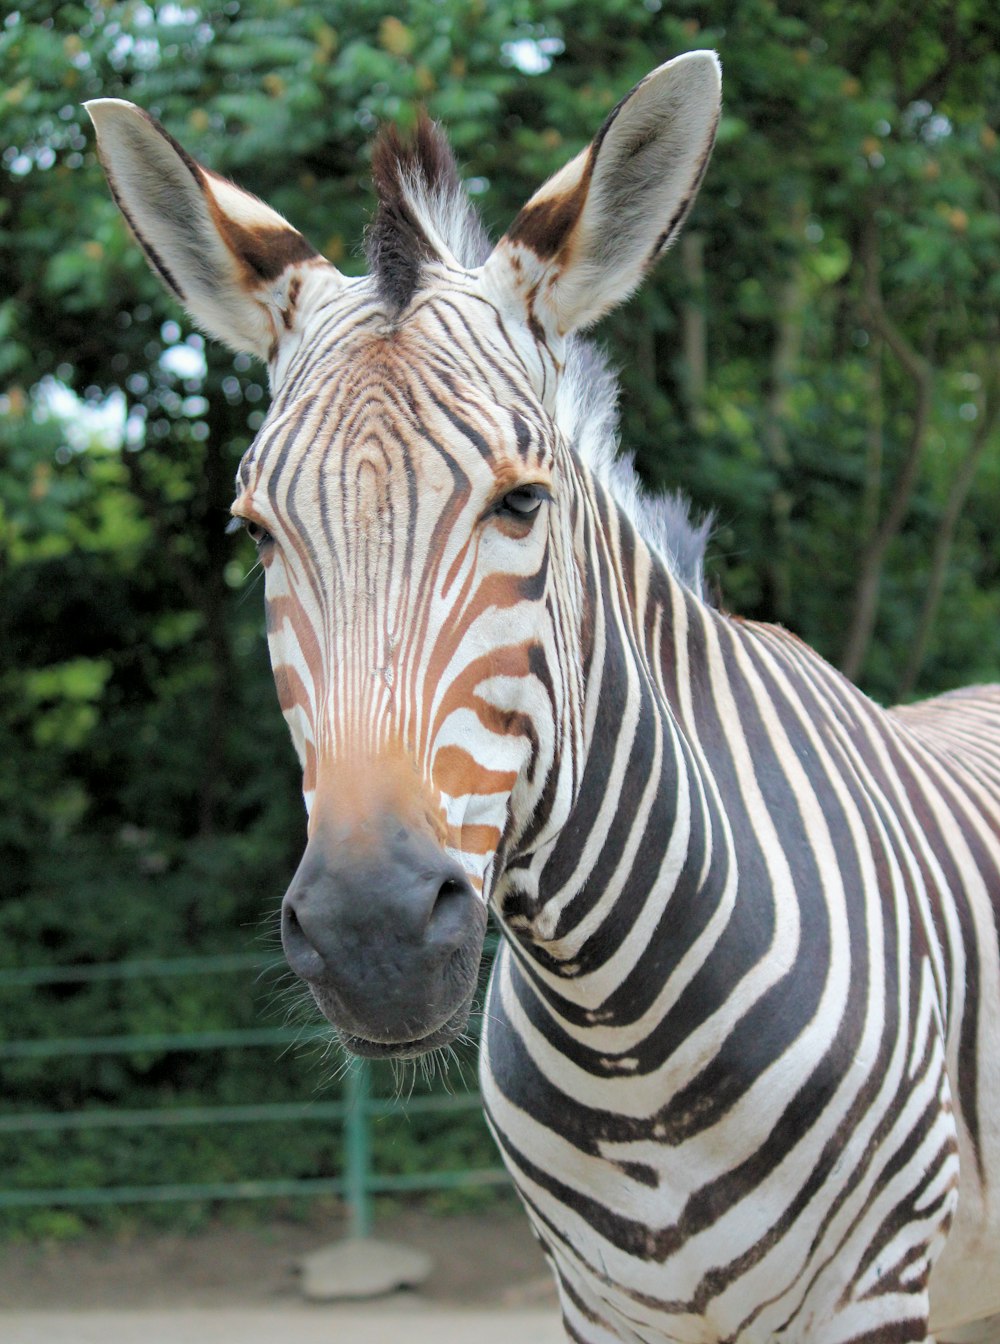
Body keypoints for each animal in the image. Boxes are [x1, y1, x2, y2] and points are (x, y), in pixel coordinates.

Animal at [88, 49, 1000, 1344]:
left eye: (523, 503)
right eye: (254, 532)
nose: (371, 938)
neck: (629, 1041)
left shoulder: (870, 1288)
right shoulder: (598, 1304)